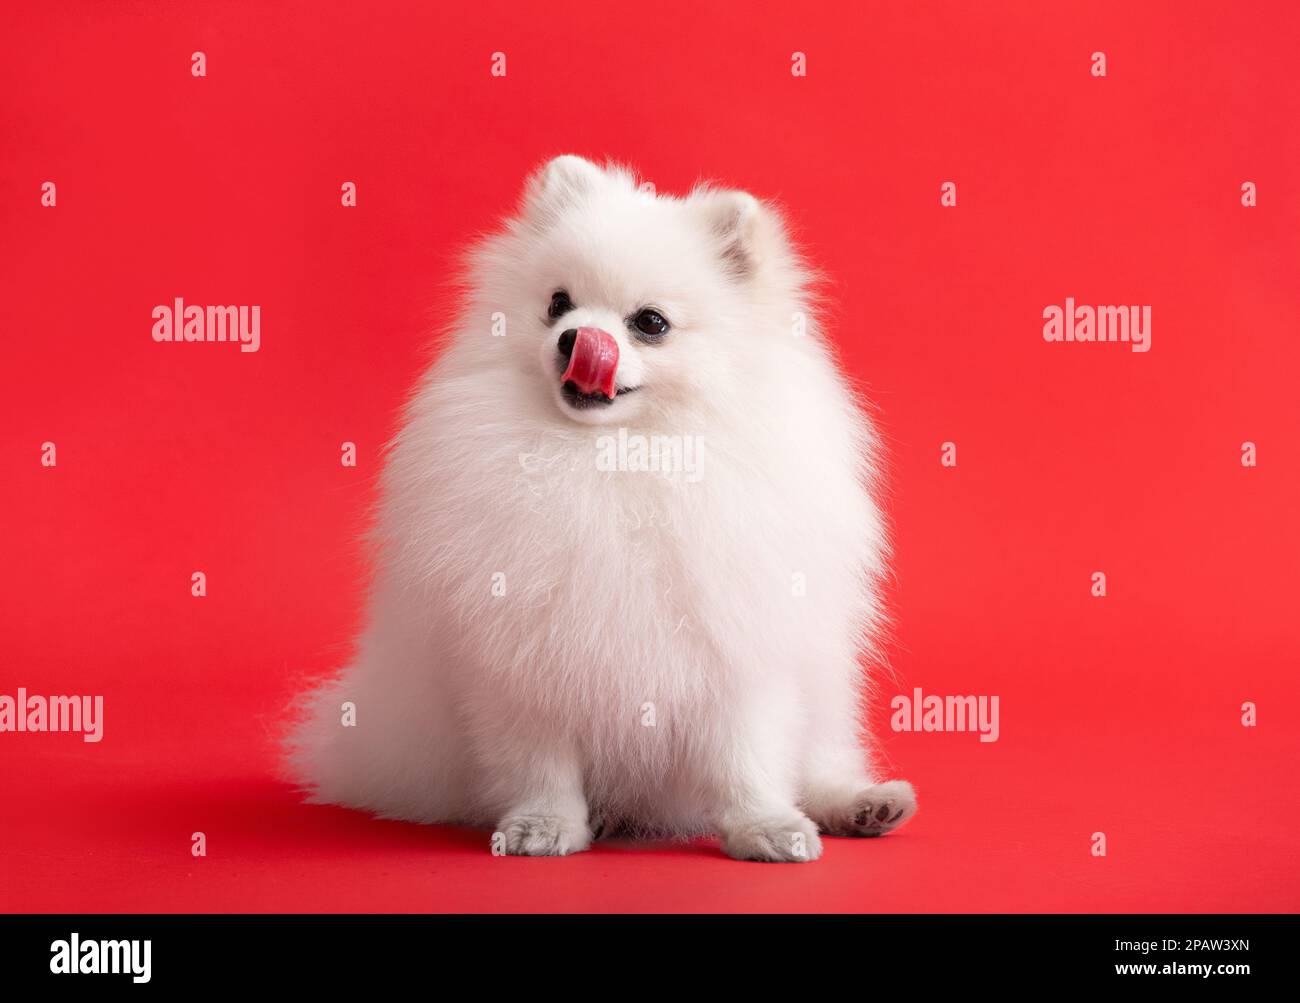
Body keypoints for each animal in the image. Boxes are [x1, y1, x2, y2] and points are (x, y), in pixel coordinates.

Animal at [287, 156, 915, 862]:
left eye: (650, 323)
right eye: (557, 303)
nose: (575, 339)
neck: (613, 459)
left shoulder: (738, 649)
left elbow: (745, 758)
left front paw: (765, 827)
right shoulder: (518, 653)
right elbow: (539, 761)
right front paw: (544, 825)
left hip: (826, 693)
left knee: (821, 763)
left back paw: (863, 805)